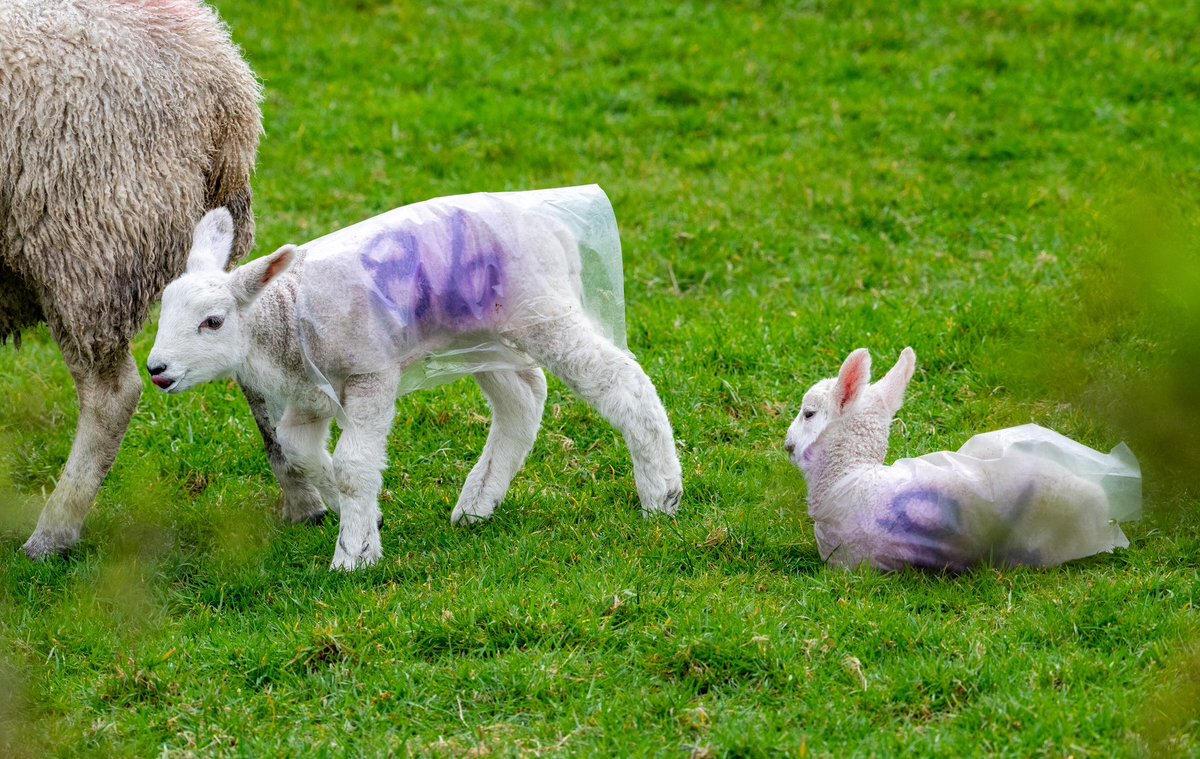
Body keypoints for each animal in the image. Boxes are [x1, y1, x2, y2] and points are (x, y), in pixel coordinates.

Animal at [144, 187, 686, 571]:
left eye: (213, 322)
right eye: (163, 313)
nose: (157, 371)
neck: (284, 315)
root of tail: (559, 228)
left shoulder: (369, 372)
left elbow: (354, 464)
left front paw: (354, 554)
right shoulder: (311, 393)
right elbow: (298, 450)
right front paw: (358, 513)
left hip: (541, 310)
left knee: (620, 380)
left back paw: (661, 494)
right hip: (482, 333)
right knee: (524, 398)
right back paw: (478, 503)